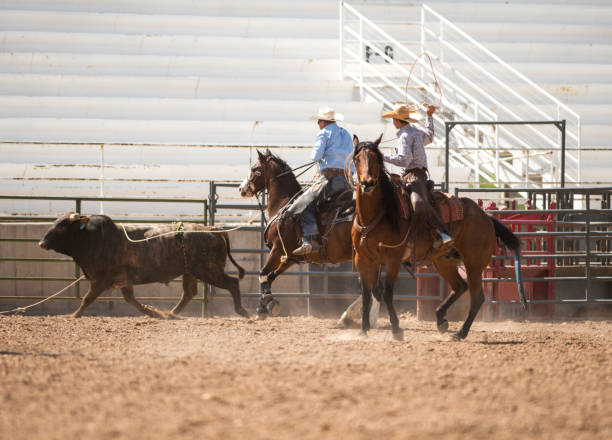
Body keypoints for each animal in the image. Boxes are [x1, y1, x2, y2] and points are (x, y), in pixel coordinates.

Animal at [38, 212, 250, 318]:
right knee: (189, 293)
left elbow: (86, 299)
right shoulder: (124, 281)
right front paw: (151, 312)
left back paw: (243, 311)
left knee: (231, 283)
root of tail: (214, 229)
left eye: (62, 226)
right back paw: (170, 314)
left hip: (208, 270)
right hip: (190, 272)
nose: (41, 243)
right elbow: (131, 299)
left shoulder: (100, 280)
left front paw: (73, 315)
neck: (92, 238)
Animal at [240, 149, 378, 320]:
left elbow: (263, 273)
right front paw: (262, 308)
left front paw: (268, 304)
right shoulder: (291, 257)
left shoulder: (277, 249)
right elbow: (271, 276)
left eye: (255, 169)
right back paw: (348, 316)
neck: (284, 204)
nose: (241, 189)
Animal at [350, 134, 524, 340]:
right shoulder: (363, 259)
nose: (367, 183)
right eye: (357, 159)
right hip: (444, 261)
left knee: (477, 297)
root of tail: (486, 216)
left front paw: (396, 329)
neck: (376, 215)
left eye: (376, 160)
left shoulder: (393, 259)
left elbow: (387, 293)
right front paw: (363, 330)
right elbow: (367, 294)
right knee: (460, 286)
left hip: (474, 263)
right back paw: (441, 319)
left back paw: (460, 333)